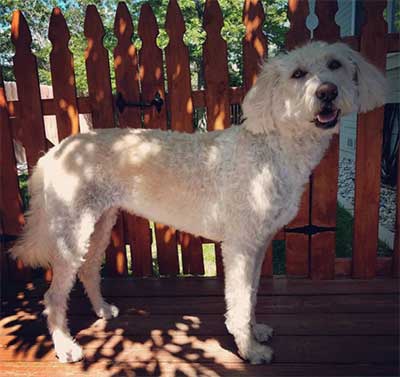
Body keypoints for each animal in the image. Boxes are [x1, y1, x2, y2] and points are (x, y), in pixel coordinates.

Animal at [11, 41, 388, 364]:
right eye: (298, 74)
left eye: (335, 65)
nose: (327, 92)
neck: (273, 148)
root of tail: (54, 152)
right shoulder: (239, 246)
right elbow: (239, 300)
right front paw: (249, 350)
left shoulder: (258, 244)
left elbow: (251, 295)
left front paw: (255, 331)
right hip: (72, 231)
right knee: (53, 296)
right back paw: (65, 346)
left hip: (100, 222)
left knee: (89, 269)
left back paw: (103, 310)